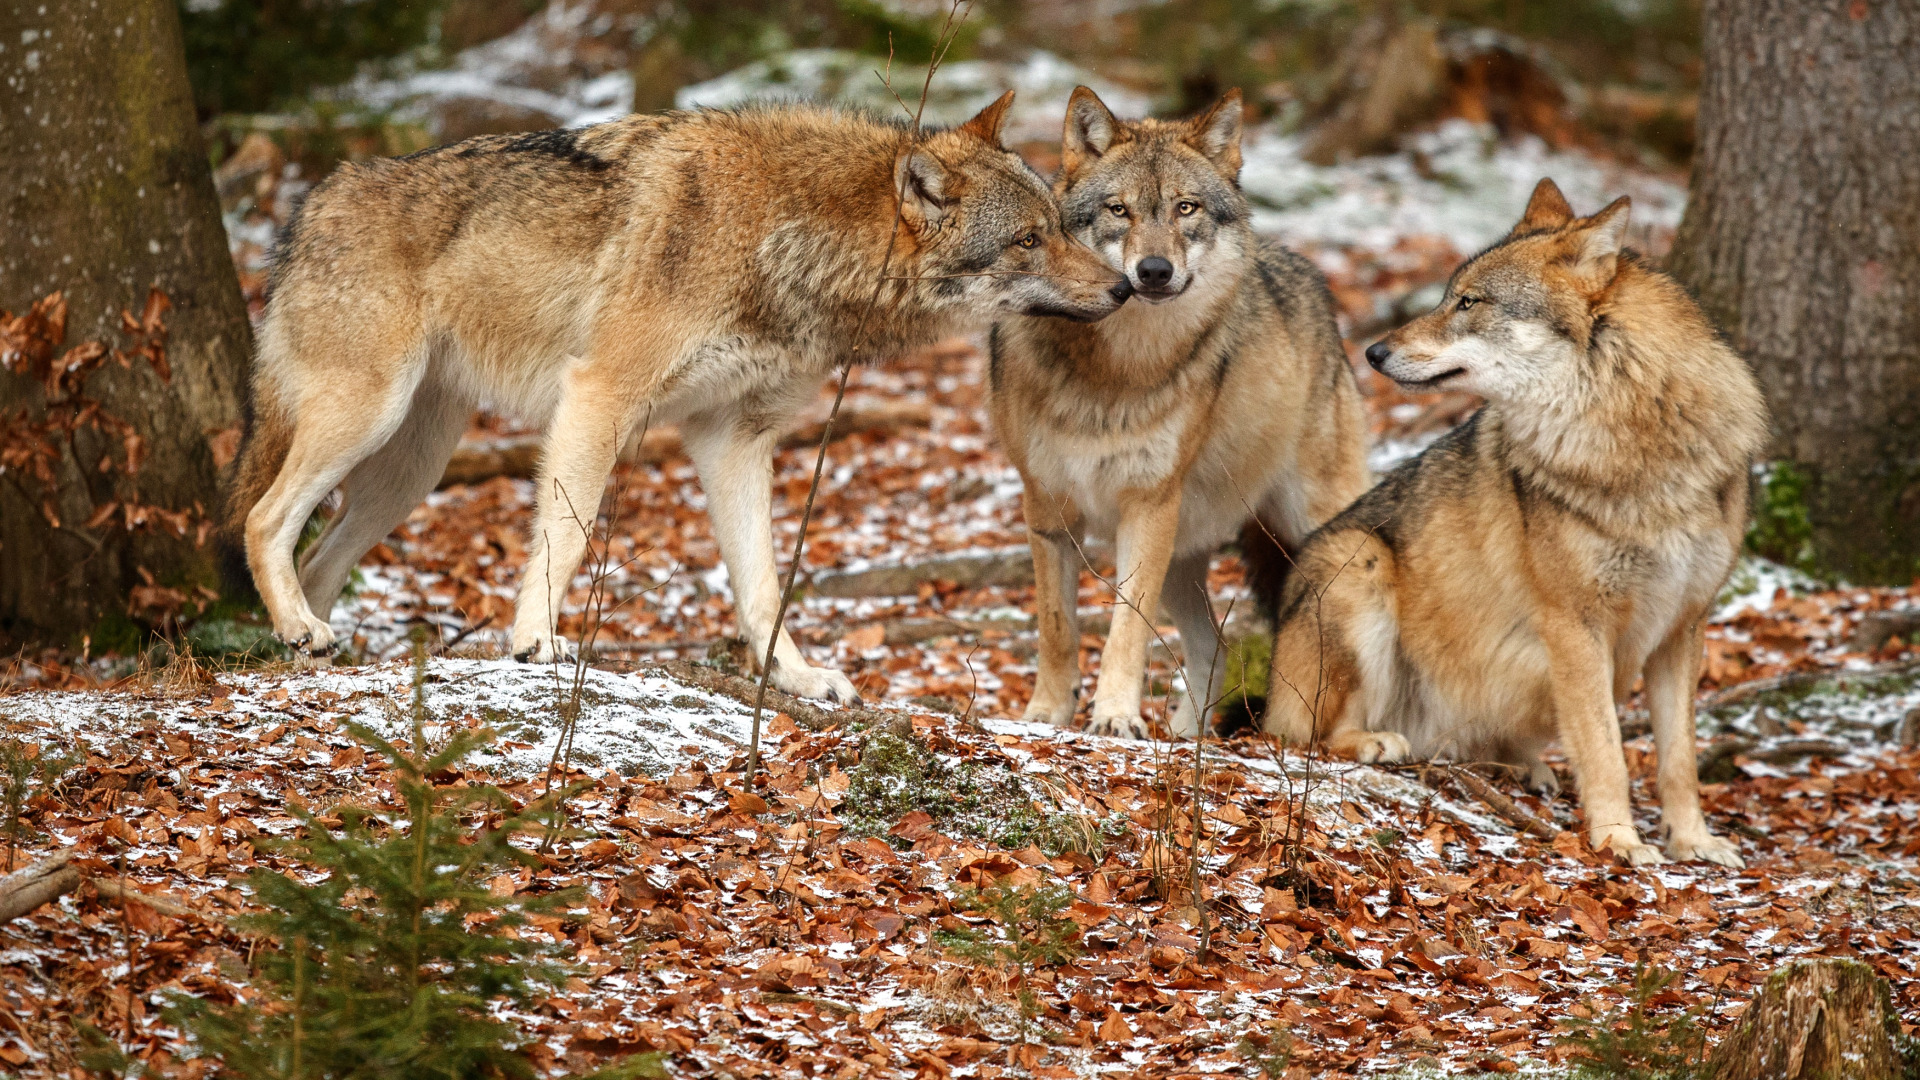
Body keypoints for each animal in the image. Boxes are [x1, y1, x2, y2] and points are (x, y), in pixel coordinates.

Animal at [983, 88, 1374, 734]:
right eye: (1118, 210)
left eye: (1185, 208)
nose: (1154, 271)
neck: (1117, 371)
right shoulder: (1046, 506)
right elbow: (1056, 629)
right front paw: (1045, 713)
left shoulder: (1147, 506)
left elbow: (1125, 630)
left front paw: (1115, 718)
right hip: (1183, 556)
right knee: (1214, 645)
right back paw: (1190, 737)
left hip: (1312, 531)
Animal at [1259, 178, 1766, 864]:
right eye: (1447, 295)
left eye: (1469, 301)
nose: (1372, 351)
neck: (1632, 443)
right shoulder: (1575, 625)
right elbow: (1606, 751)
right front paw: (1620, 841)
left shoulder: (1683, 627)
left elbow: (1678, 760)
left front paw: (1694, 842)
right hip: (1359, 561)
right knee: (1304, 735)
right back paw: (1376, 741)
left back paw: (1526, 767)